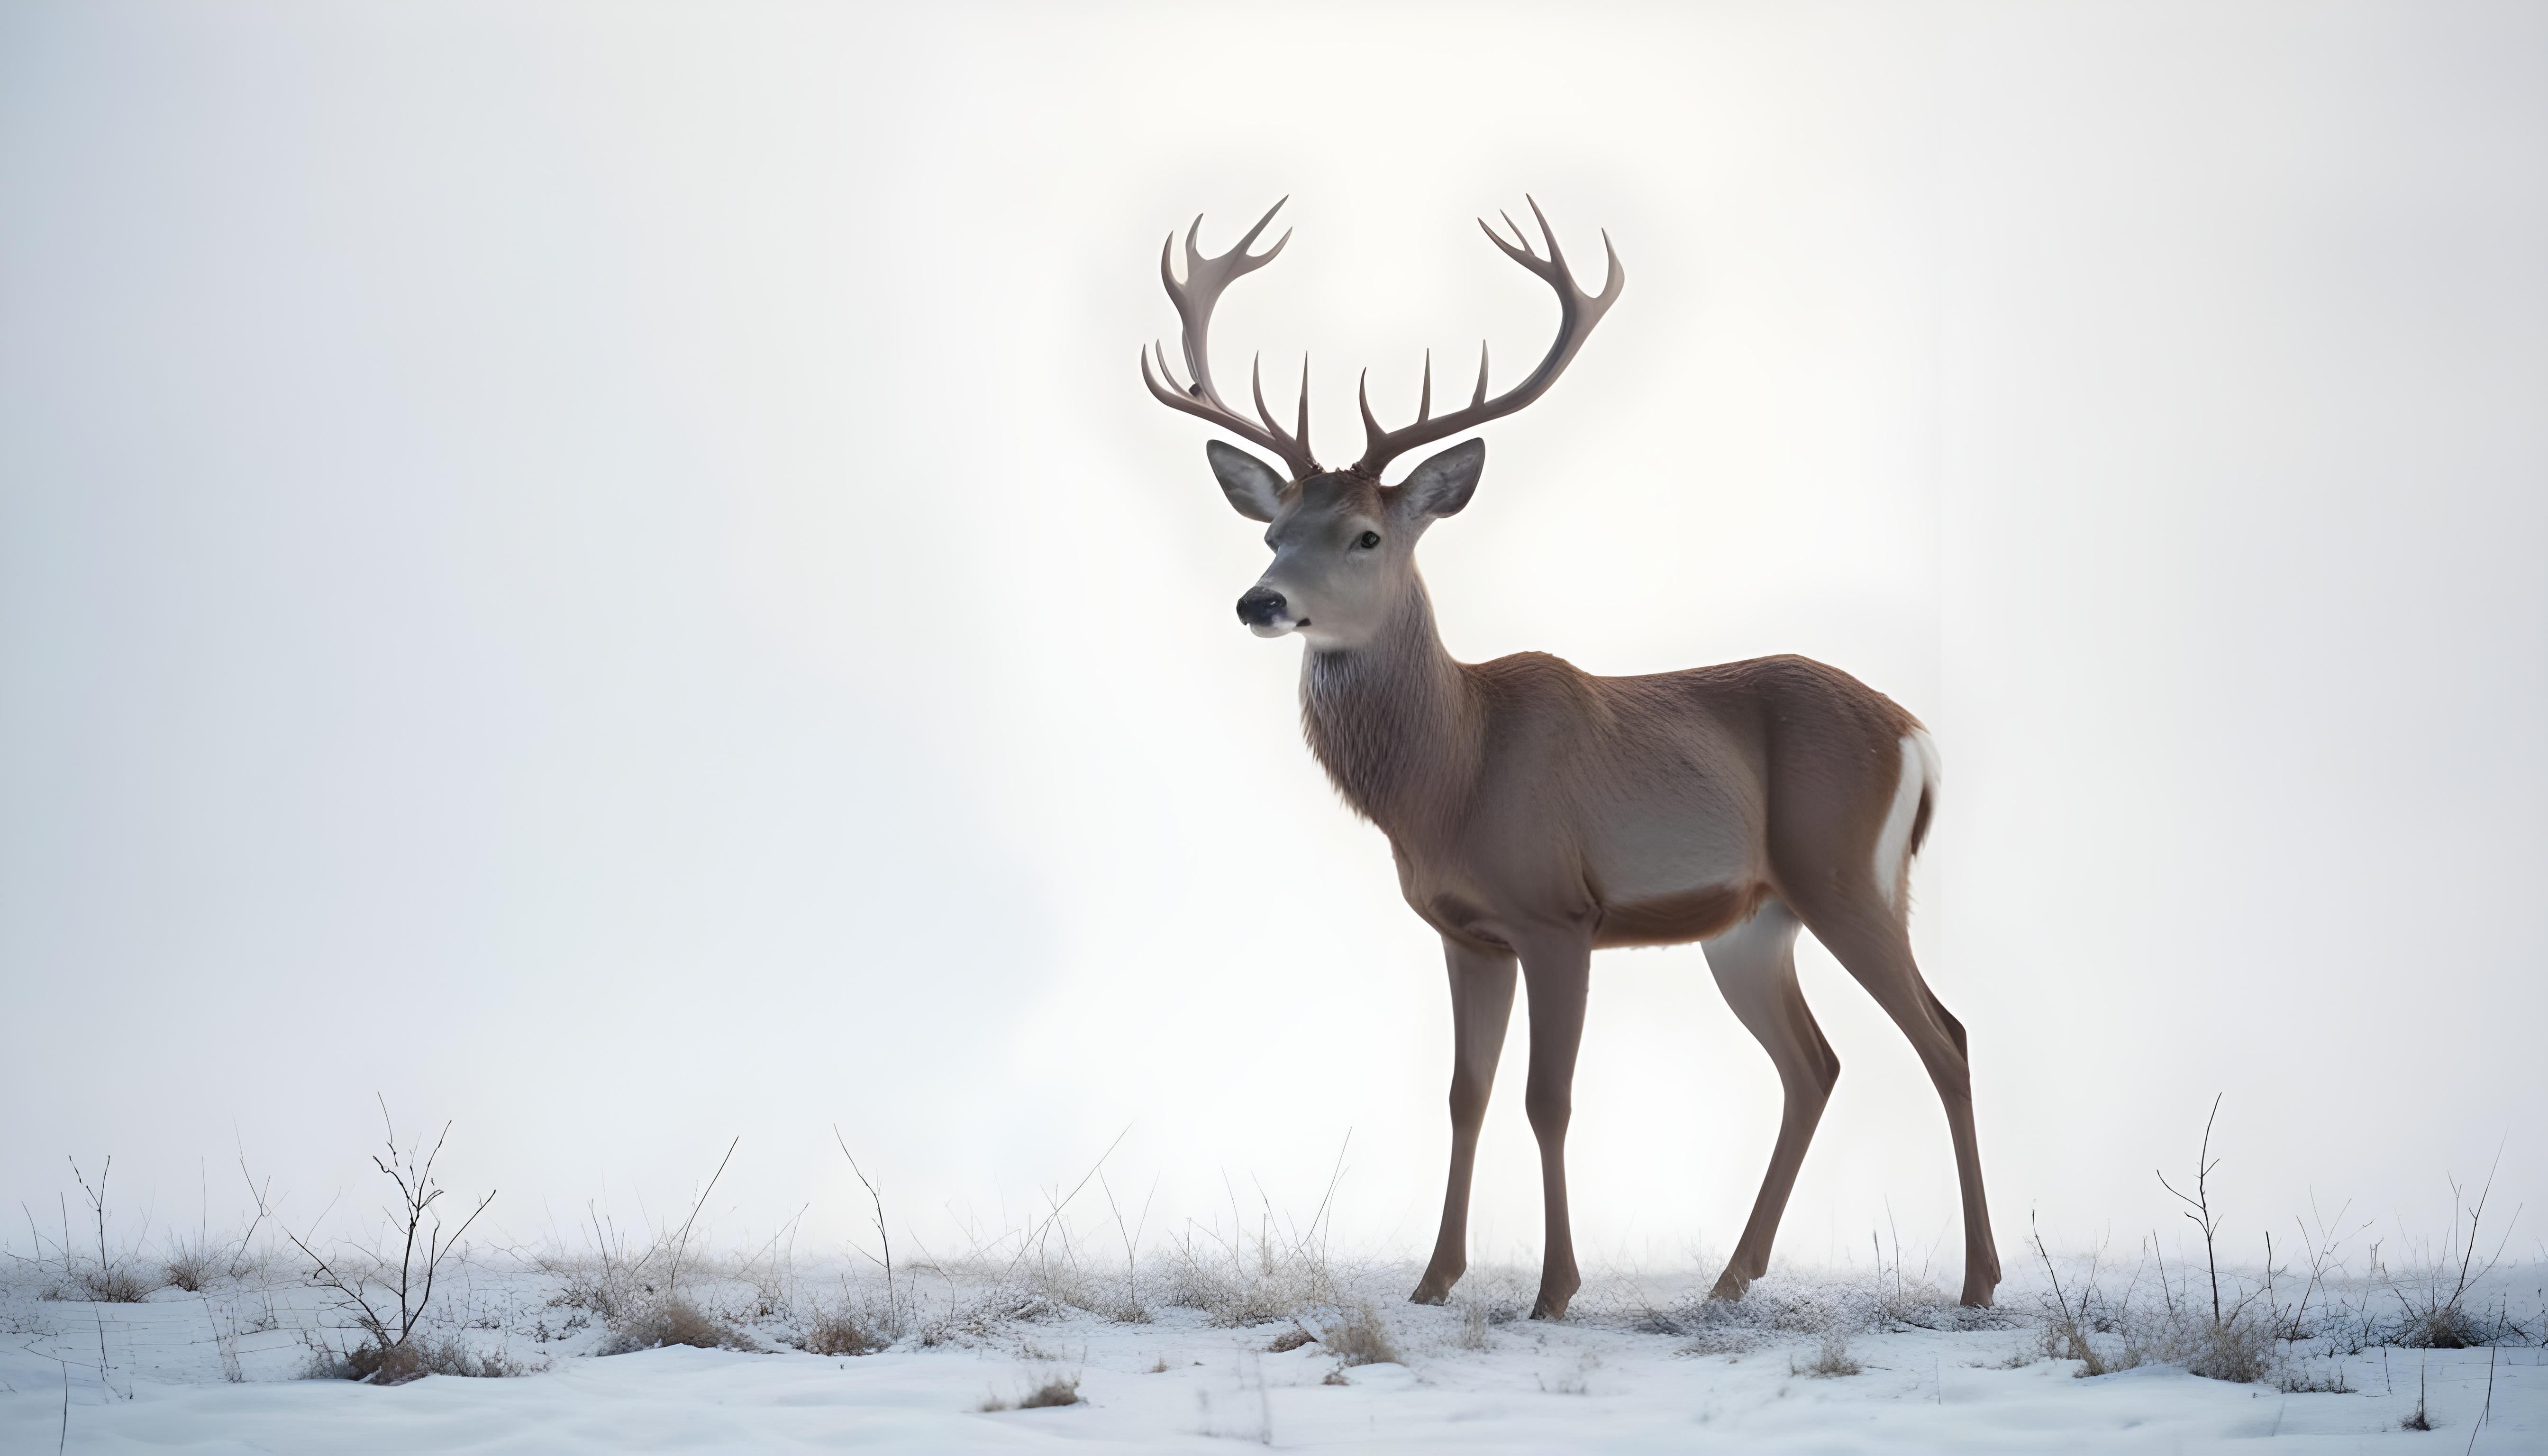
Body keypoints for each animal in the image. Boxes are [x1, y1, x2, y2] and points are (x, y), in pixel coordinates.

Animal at [1141, 198, 2001, 1318]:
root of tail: (1916, 735)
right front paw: (1434, 1280)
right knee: (1815, 1064)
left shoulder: (1559, 912)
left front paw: (1554, 1289)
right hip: (1753, 922)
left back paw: (1978, 1282)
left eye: (1367, 534)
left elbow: (1546, 1097)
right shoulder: (1465, 931)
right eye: (1273, 530)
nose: (1261, 601)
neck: (1451, 775)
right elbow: (1463, 1094)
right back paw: (1731, 1277)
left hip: (1845, 871)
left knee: (1945, 1037)